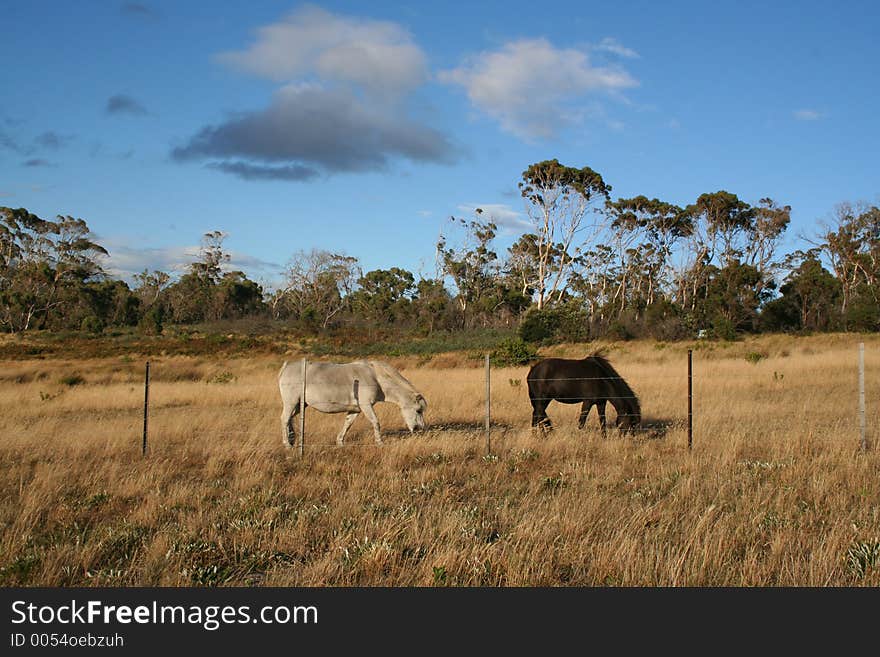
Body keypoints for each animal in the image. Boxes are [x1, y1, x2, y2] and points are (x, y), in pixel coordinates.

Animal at [276, 358, 426, 446]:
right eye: (418, 410)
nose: (420, 429)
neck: (375, 376)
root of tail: (286, 366)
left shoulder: (355, 409)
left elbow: (347, 425)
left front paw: (340, 442)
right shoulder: (366, 406)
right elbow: (376, 422)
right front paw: (380, 443)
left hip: (298, 406)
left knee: (289, 420)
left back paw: (292, 439)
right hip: (291, 403)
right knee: (284, 419)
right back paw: (287, 444)